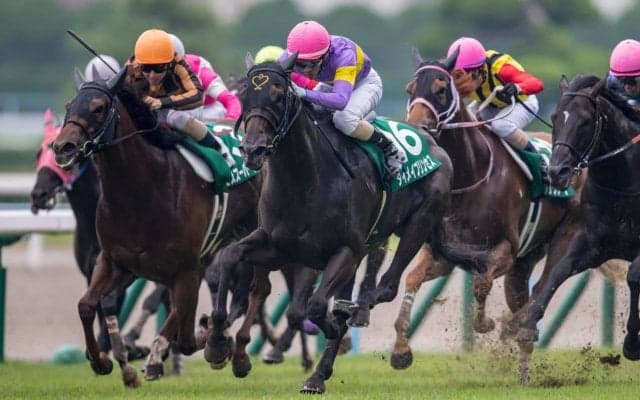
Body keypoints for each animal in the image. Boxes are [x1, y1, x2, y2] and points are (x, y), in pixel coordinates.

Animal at [205, 52, 455, 394]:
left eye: (279, 94)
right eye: (244, 95)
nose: (253, 149)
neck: (306, 179)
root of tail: (434, 142)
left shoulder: (344, 250)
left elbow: (315, 306)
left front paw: (333, 327)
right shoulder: (278, 246)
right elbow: (230, 258)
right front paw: (216, 345)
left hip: (418, 222)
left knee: (386, 286)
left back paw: (360, 319)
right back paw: (318, 373)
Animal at [395, 50, 587, 373]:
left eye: (441, 90)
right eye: (410, 89)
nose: (417, 128)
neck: (470, 175)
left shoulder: (505, 249)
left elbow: (482, 284)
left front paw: (486, 324)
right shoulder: (443, 255)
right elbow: (411, 279)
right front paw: (401, 350)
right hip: (525, 261)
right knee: (521, 300)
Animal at [517, 74, 640, 383]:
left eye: (585, 121)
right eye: (555, 117)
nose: (557, 172)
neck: (624, 182)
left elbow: (633, 276)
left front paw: (633, 343)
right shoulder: (591, 242)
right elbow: (555, 274)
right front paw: (526, 326)